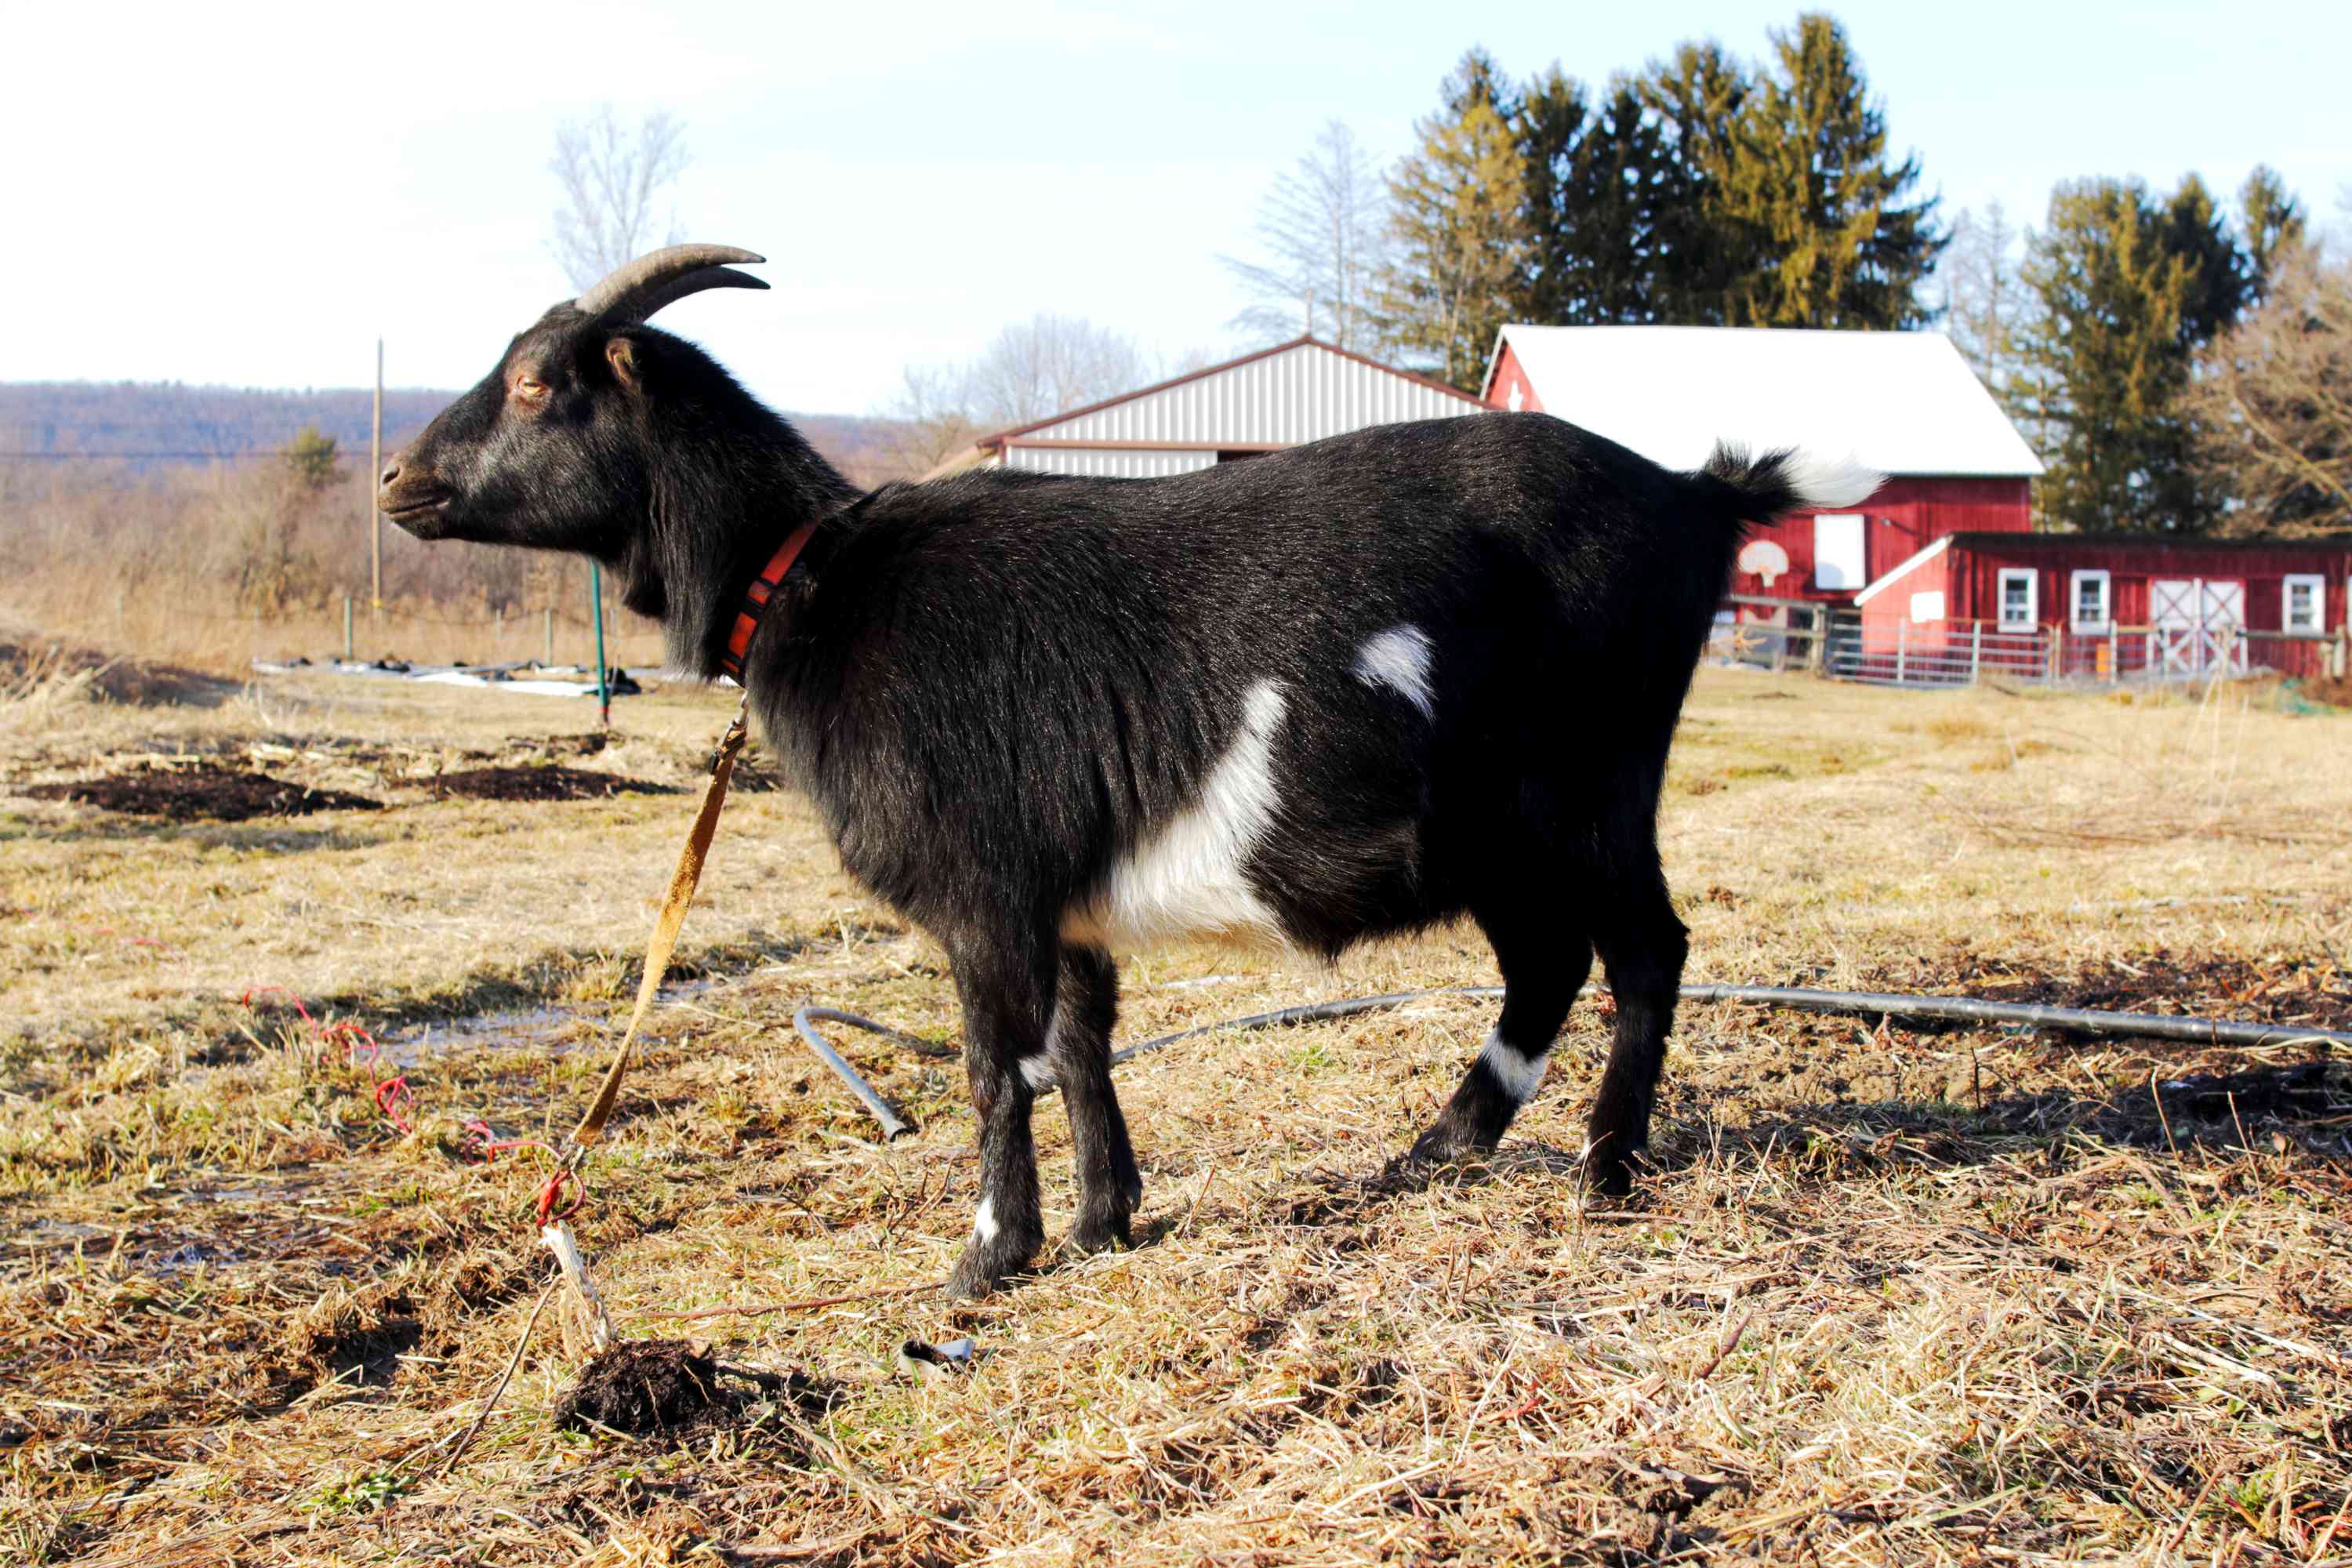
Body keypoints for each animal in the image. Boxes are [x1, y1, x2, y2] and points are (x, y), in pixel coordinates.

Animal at [390, 245, 1891, 1298]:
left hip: (1590, 788)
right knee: (1549, 963)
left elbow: (997, 1064)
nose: (402, 481)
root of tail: (1696, 497)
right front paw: (1108, 1222)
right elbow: (1080, 1044)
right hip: (1503, 830)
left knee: (1643, 951)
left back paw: (1602, 1168)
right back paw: (1439, 1148)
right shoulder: (1065, 896)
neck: (816, 581)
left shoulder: (985, 892)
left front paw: (988, 1257)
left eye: (537, 382)